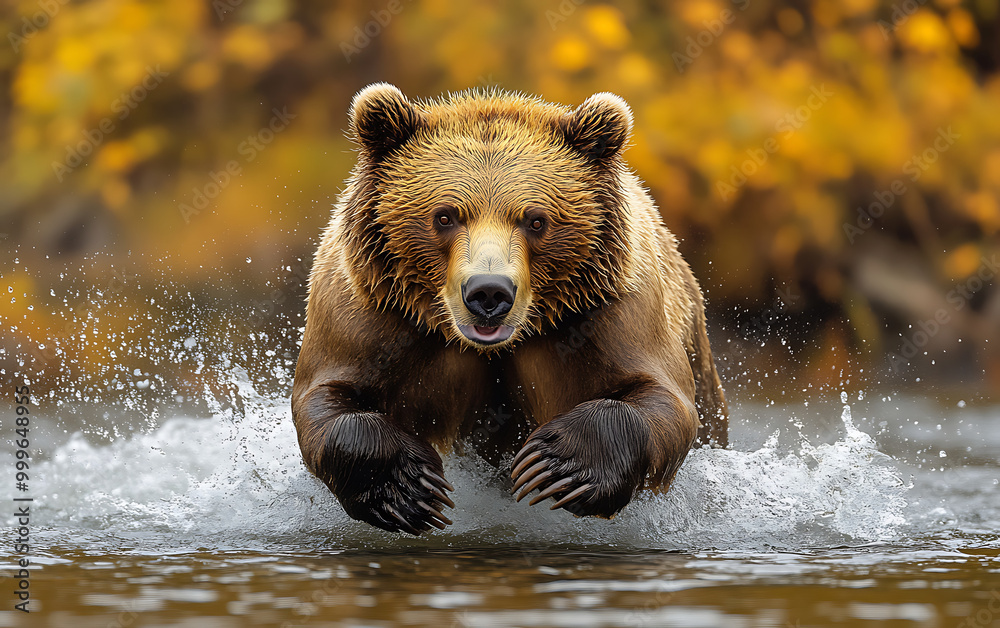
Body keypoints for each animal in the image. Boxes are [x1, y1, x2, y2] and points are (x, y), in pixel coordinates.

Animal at [291, 83, 728, 535]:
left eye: (536, 220)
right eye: (444, 216)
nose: (488, 292)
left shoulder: (609, 308)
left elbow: (661, 397)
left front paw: (556, 464)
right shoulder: (376, 312)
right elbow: (328, 397)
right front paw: (408, 487)